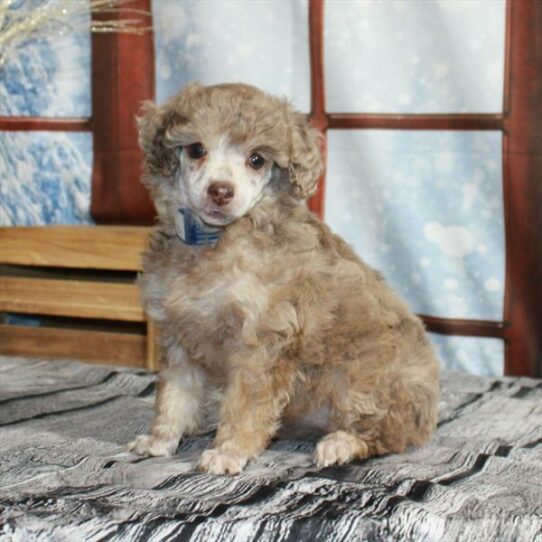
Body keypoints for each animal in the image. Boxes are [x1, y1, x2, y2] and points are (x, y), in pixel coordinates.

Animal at [127, 83, 442, 478]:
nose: (221, 191)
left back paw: (341, 444)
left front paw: (229, 451)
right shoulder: (180, 335)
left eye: (256, 160)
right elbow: (175, 395)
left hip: (366, 380)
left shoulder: (263, 339)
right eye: (196, 149)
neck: (215, 239)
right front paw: (160, 440)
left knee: (386, 432)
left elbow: (245, 404)